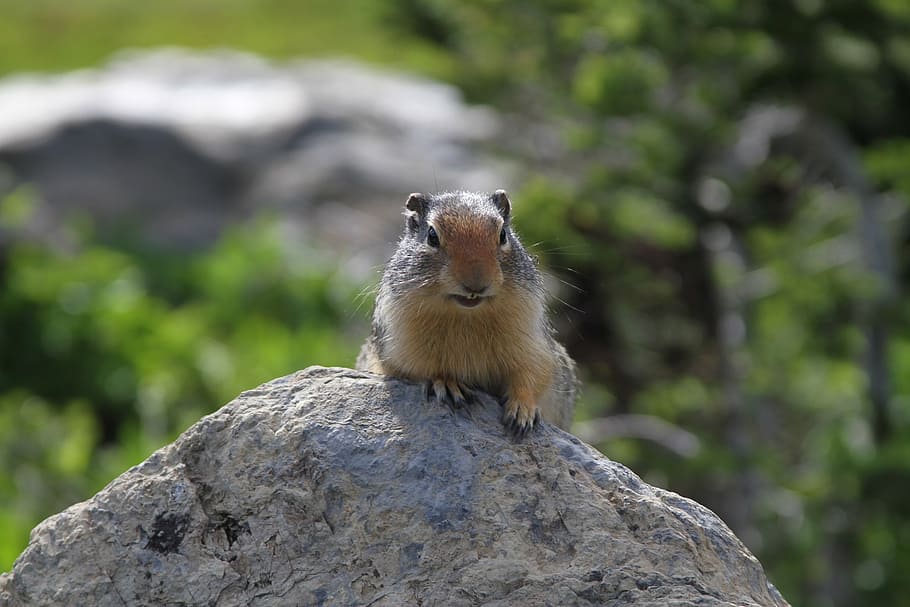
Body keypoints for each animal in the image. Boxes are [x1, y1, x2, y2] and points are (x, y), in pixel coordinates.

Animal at [356, 189, 577, 437]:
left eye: (503, 234)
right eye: (432, 236)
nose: (476, 283)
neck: (467, 316)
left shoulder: (533, 341)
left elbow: (533, 373)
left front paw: (522, 410)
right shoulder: (399, 345)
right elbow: (419, 368)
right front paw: (447, 383)